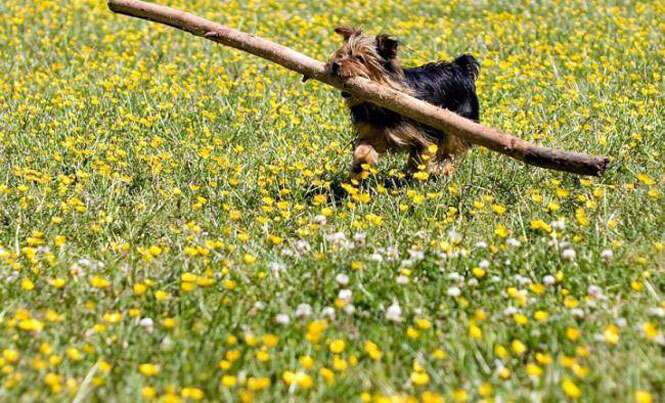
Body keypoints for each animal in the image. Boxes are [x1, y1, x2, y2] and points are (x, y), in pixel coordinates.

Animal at [326, 25, 478, 177]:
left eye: (359, 58)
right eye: (341, 54)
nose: (335, 64)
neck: (377, 106)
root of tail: (460, 68)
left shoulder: (423, 134)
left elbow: (421, 155)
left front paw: (417, 175)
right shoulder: (373, 133)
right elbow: (364, 149)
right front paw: (358, 167)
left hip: (458, 121)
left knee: (450, 147)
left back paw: (443, 168)